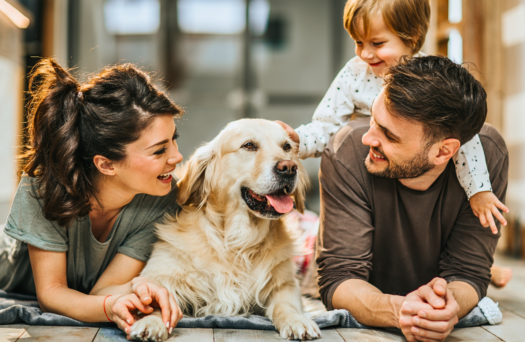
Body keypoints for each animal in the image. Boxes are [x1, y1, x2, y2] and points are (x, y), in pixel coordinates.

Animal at [129, 119, 322, 340]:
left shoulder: (285, 284)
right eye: (249, 145)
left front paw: (297, 320)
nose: (289, 168)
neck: (237, 240)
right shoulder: (159, 274)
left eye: (287, 147)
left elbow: (287, 304)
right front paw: (150, 322)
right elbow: (157, 300)